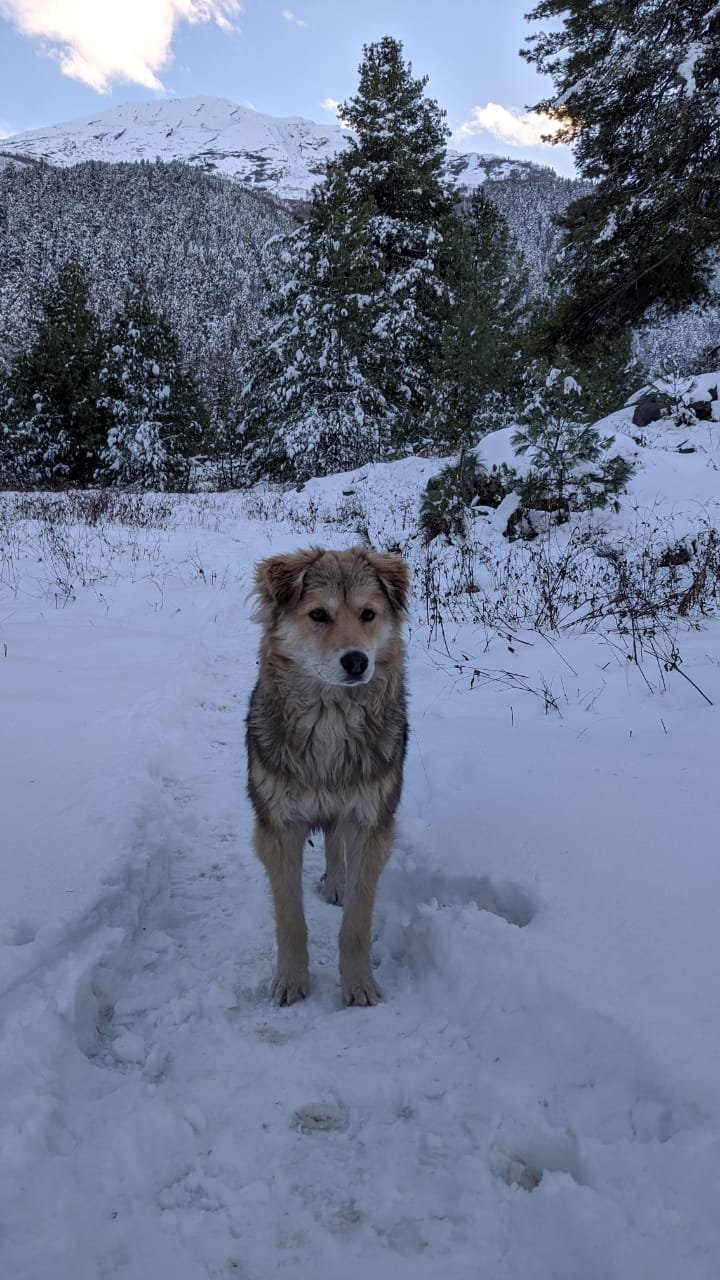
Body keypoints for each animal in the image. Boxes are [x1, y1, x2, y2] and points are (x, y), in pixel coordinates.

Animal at [244, 545, 409, 1003]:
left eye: (368, 614)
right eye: (318, 615)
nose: (356, 661)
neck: (331, 719)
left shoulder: (371, 823)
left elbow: (356, 923)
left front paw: (358, 983)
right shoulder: (279, 827)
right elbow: (290, 920)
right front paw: (291, 980)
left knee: (336, 839)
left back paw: (336, 880)